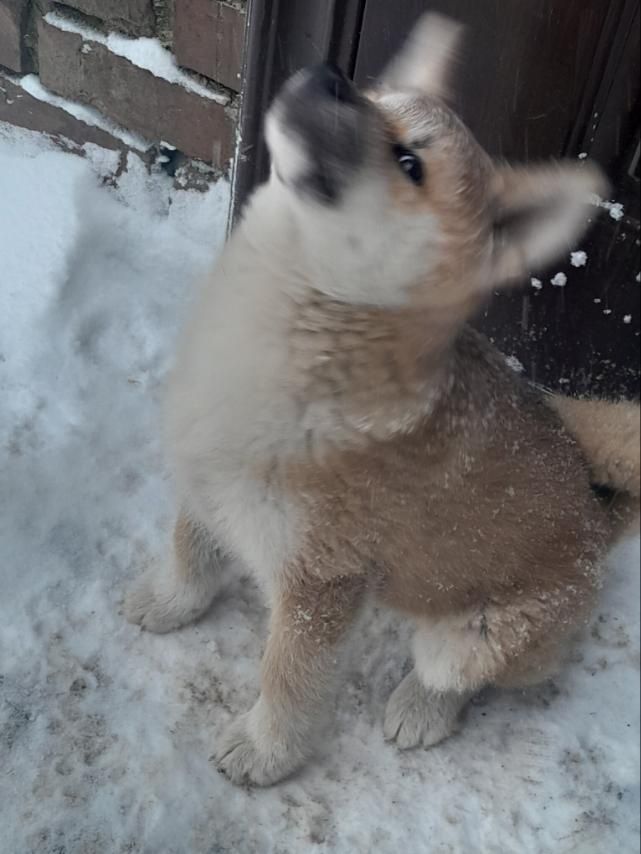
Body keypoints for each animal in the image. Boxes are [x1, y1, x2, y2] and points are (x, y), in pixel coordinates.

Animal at [125, 15, 640, 788]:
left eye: (409, 164)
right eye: (375, 96)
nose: (332, 75)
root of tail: (594, 520)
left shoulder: (318, 583)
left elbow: (288, 678)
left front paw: (268, 749)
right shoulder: (210, 482)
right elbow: (191, 556)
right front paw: (169, 602)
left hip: (476, 635)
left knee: (458, 678)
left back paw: (422, 708)